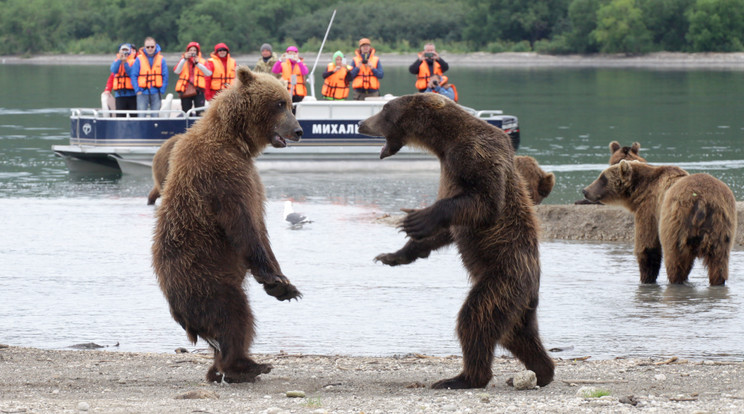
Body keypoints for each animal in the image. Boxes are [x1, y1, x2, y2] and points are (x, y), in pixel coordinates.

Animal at [153, 67, 304, 382]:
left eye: (288, 102)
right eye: (280, 103)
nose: (298, 131)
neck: (235, 141)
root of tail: (179, 313)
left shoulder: (249, 175)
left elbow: (262, 229)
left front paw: (284, 284)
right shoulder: (223, 176)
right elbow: (245, 227)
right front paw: (277, 281)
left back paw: (220, 368)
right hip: (205, 278)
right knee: (235, 316)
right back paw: (245, 365)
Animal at [358, 93, 556, 388]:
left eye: (384, 109)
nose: (361, 123)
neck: (443, 142)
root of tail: (533, 287)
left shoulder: (474, 154)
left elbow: (485, 202)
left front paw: (418, 218)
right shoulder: (449, 165)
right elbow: (448, 231)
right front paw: (393, 255)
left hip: (504, 276)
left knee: (477, 317)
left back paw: (463, 377)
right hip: (519, 303)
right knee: (517, 334)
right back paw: (542, 371)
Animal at [584, 161, 736, 284]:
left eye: (603, 178)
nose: (585, 190)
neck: (640, 191)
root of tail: (702, 202)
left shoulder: (650, 209)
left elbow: (648, 246)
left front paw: (646, 279)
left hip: (676, 222)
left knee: (675, 258)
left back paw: (676, 280)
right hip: (720, 224)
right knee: (719, 262)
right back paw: (717, 281)